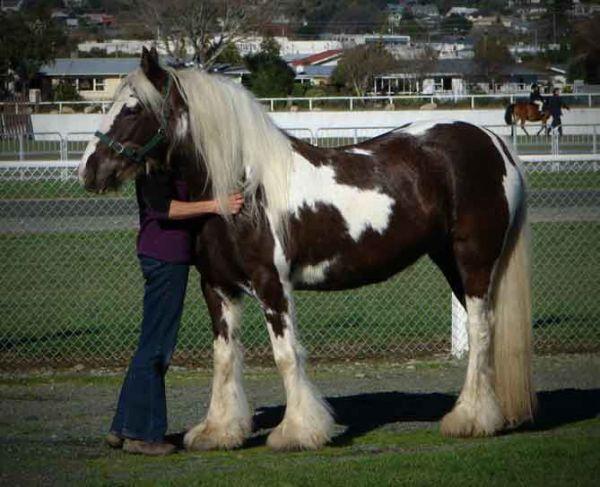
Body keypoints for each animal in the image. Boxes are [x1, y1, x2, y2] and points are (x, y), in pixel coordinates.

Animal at [78, 48, 536, 450]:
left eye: (133, 109)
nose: (89, 170)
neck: (243, 189)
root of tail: (494, 143)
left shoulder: (272, 285)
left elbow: (286, 354)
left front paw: (298, 431)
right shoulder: (217, 287)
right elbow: (224, 357)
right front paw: (219, 431)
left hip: (474, 260)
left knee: (480, 330)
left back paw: (471, 419)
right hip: (450, 260)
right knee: (486, 330)